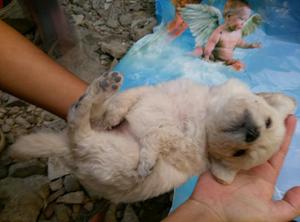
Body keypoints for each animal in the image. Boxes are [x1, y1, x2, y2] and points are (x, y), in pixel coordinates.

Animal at [9, 71, 296, 203]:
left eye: (240, 154)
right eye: (269, 122)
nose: (253, 133)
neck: (204, 117)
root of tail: (68, 152)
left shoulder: (178, 141)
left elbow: (158, 134)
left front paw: (147, 158)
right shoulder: (151, 92)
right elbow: (126, 102)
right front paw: (113, 115)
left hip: (108, 154)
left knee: (78, 124)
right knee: (89, 114)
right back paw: (106, 87)